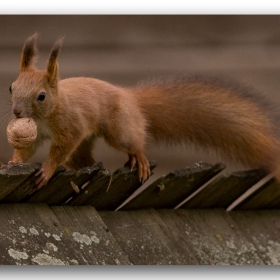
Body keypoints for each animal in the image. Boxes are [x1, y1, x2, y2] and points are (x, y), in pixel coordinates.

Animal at [6, 34, 280, 189]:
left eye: (41, 96)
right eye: (11, 87)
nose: (17, 112)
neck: (47, 114)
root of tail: (130, 96)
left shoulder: (70, 124)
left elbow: (61, 149)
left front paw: (47, 169)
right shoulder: (35, 134)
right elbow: (27, 149)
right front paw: (13, 162)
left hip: (120, 129)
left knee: (133, 142)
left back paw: (140, 158)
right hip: (87, 146)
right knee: (84, 160)